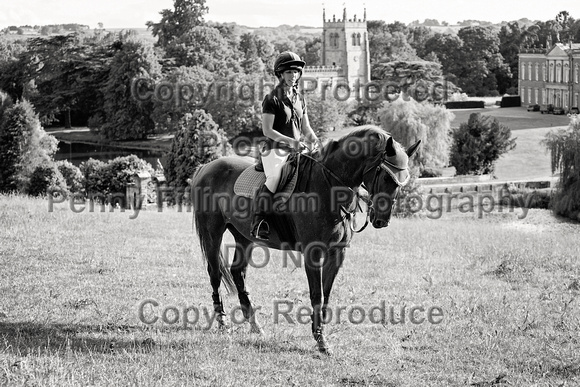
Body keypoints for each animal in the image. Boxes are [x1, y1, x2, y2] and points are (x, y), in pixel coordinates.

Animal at [190, 125, 422, 354]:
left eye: (402, 180)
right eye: (386, 177)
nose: (382, 220)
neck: (328, 187)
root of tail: (207, 166)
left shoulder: (337, 252)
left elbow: (326, 293)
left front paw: (319, 332)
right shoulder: (313, 252)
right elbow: (317, 294)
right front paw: (320, 340)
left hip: (244, 236)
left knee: (238, 273)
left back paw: (255, 325)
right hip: (213, 232)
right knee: (215, 273)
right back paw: (223, 323)